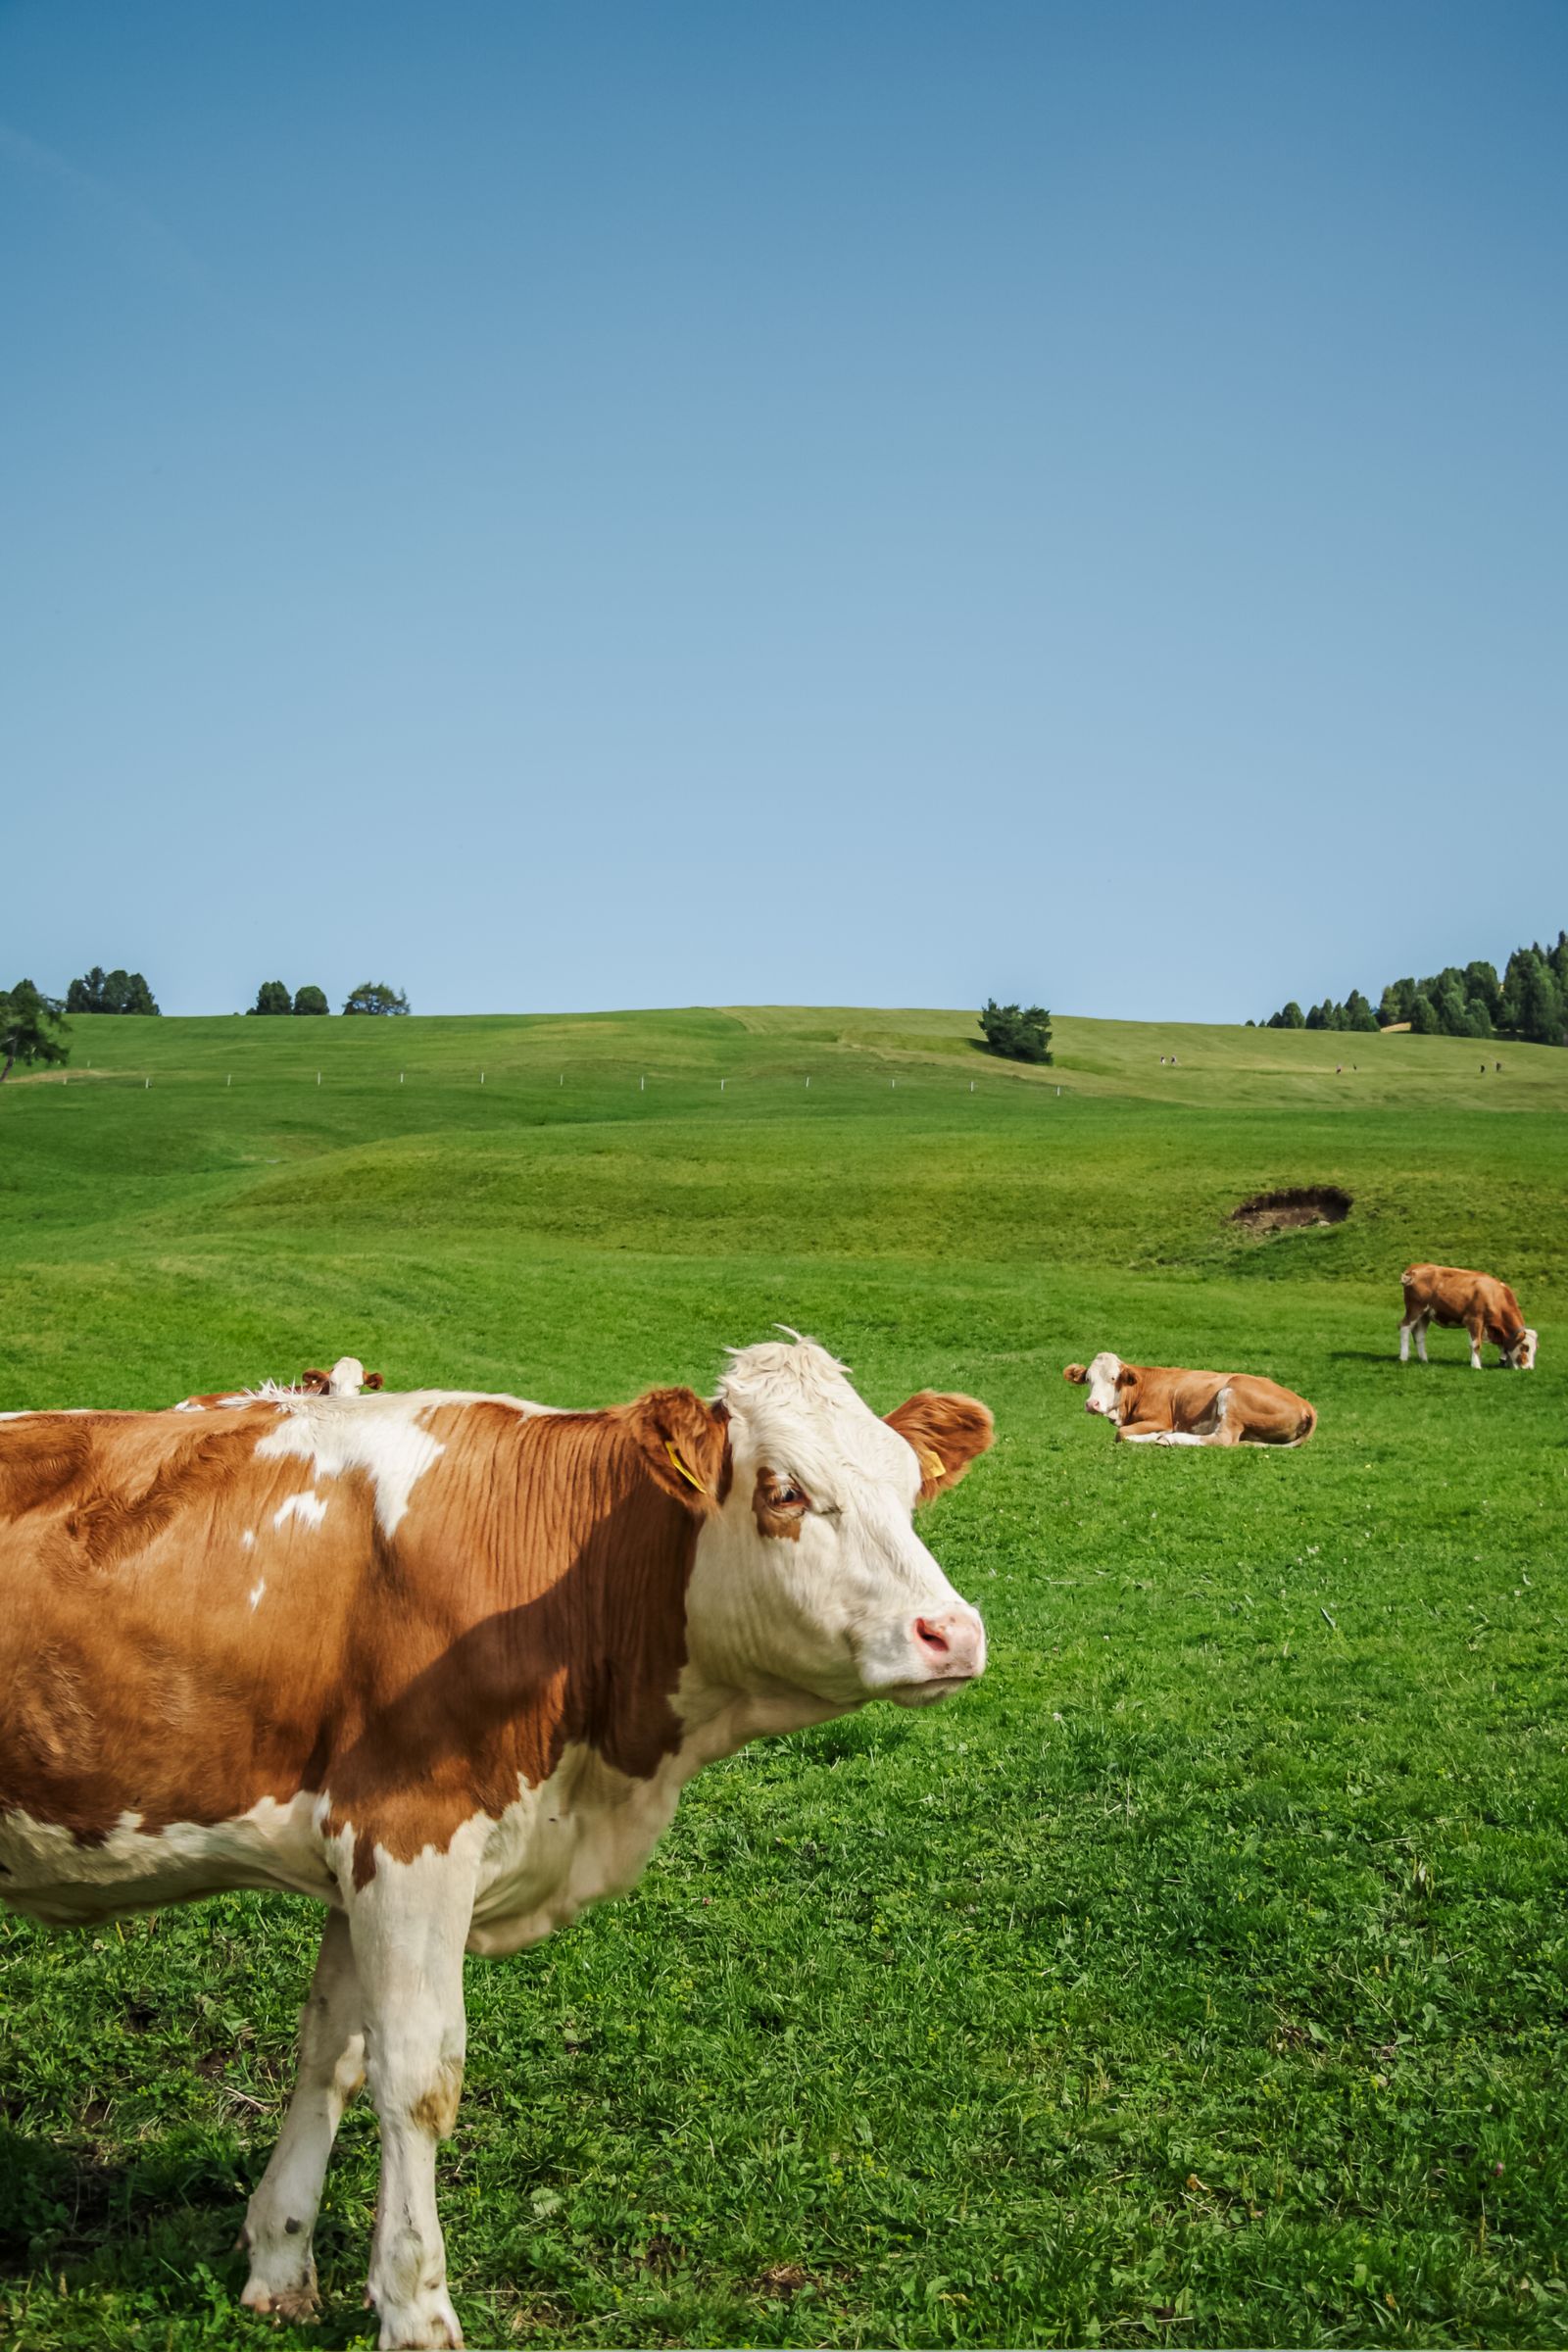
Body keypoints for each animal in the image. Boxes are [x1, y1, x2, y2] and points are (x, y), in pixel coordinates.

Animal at [0, 1337, 991, 2349]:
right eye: (785, 1490)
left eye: (911, 1486)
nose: (952, 1633)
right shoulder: (410, 1831)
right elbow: (416, 2076)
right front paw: (415, 2308)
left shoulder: (357, 1849)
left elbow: (333, 2056)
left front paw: (279, 2262)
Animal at [1063, 1352, 1317, 1446]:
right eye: (1088, 1379)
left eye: (1114, 1378)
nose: (1092, 1404)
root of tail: (1305, 1404)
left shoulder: (1160, 1419)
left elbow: (1122, 1434)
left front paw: (1156, 1436)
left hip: (1230, 1393)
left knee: (1222, 1439)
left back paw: (1169, 1439)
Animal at [1399, 1263, 1537, 1370]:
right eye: (1525, 1348)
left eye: (1535, 1349)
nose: (1529, 1368)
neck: (1494, 1295)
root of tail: (1415, 1267)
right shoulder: (1474, 1320)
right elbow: (1476, 1344)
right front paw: (1476, 1366)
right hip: (1415, 1308)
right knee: (1404, 1327)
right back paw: (1403, 1357)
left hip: (1425, 1314)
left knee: (1419, 1335)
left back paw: (1424, 1360)